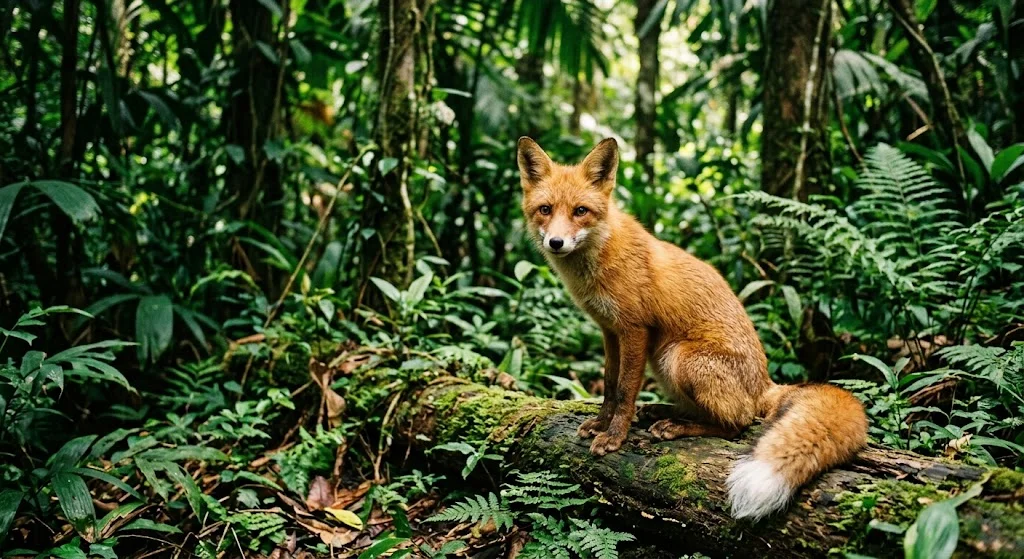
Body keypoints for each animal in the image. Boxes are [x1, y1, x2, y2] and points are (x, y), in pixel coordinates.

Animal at [516, 136, 868, 521]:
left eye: (580, 211)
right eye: (546, 209)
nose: (556, 243)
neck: (600, 260)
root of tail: (764, 384)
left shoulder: (635, 330)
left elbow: (625, 392)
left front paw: (614, 437)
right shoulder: (609, 331)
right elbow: (609, 386)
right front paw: (600, 423)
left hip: (678, 358)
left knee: (738, 424)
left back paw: (675, 427)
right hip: (663, 360)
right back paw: (662, 413)